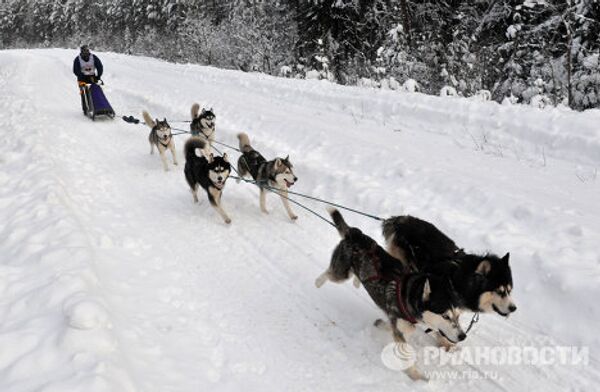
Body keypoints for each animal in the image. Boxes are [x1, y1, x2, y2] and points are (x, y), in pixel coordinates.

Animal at [316, 211, 466, 380]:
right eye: (445, 316)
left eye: (458, 316)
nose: (463, 336)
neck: (409, 293)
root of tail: (355, 234)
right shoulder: (400, 329)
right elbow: (407, 353)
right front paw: (416, 375)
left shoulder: (399, 323)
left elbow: (392, 325)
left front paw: (381, 324)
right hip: (341, 274)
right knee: (329, 273)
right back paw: (318, 282)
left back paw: (357, 281)